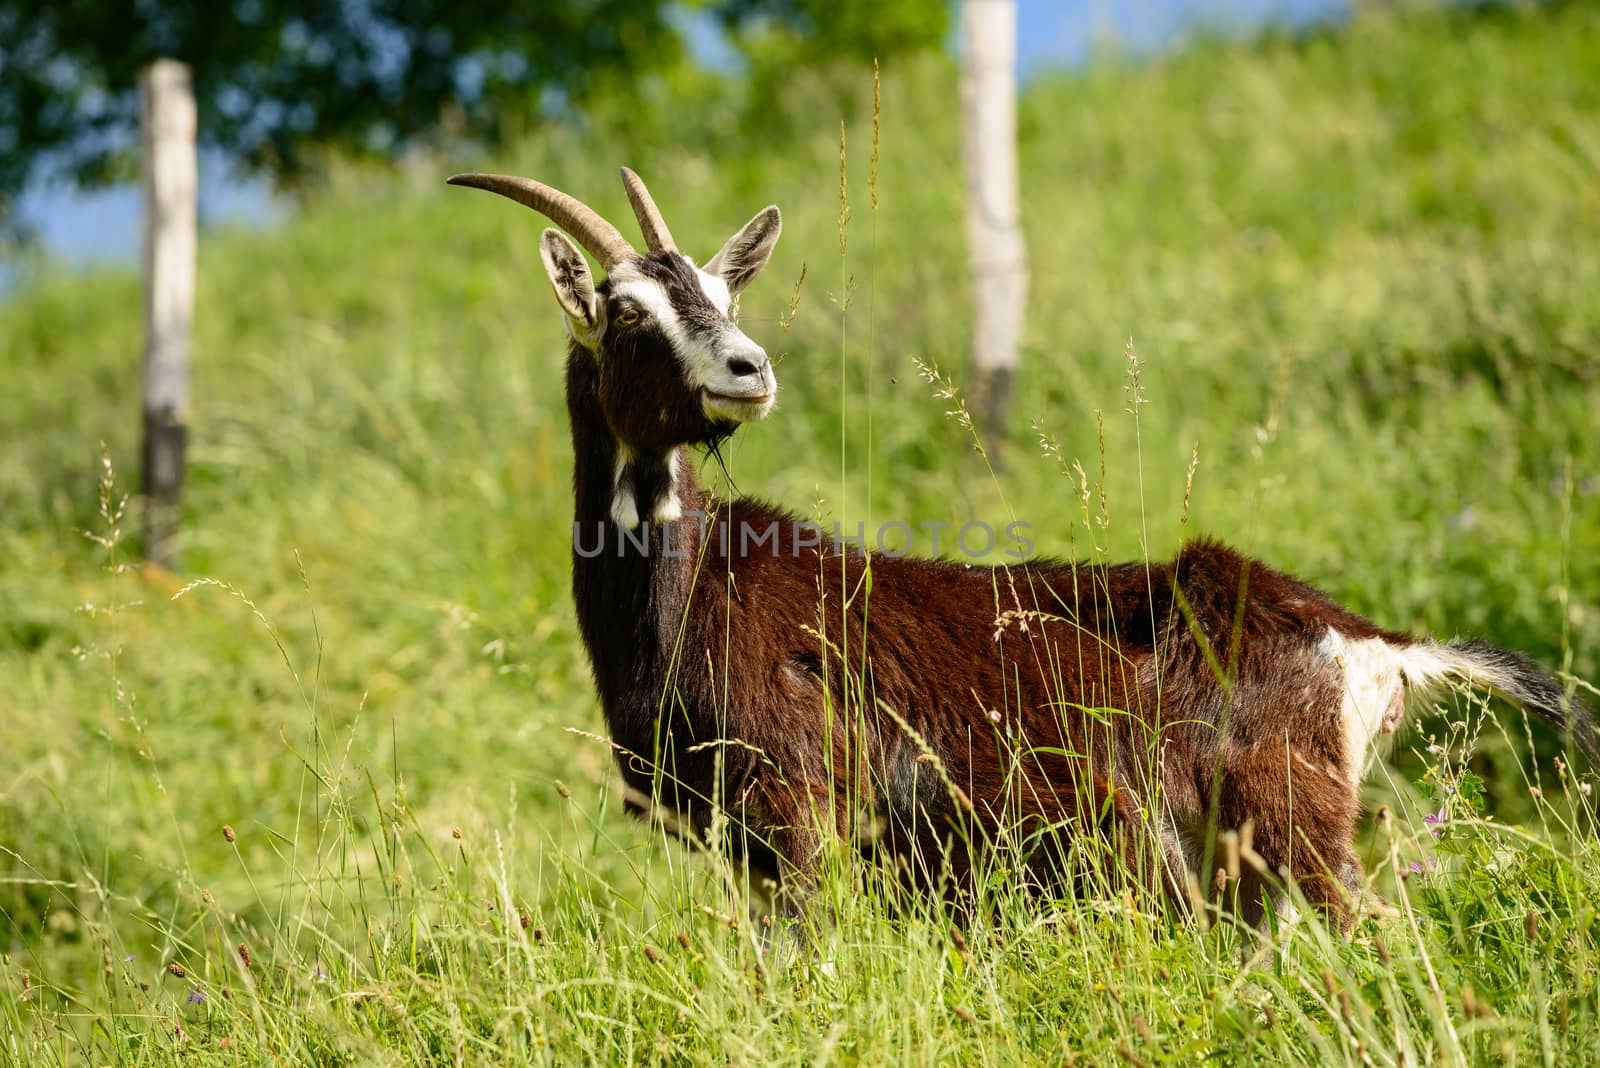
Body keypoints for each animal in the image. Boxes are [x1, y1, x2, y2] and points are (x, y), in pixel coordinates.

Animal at [444, 167, 1593, 933]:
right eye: (626, 313)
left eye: (724, 299)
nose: (749, 368)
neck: (695, 590)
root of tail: (1367, 641)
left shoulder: (796, 809)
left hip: (1289, 825)